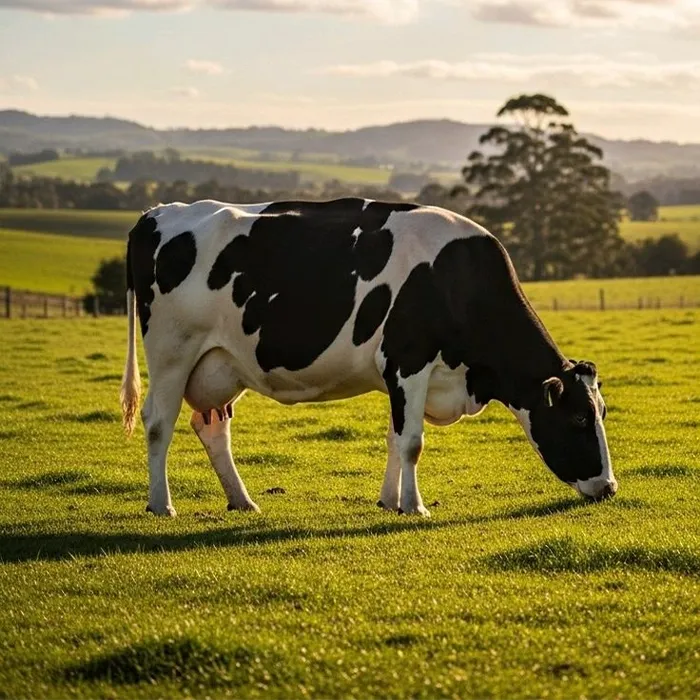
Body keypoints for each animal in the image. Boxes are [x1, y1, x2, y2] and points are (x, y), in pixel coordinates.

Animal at [120, 197, 617, 517]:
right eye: (578, 418)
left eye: (603, 412)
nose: (609, 488)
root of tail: (158, 212)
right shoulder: (408, 361)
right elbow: (412, 442)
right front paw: (415, 507)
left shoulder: (400, 375)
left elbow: (395, 439)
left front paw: (389, 502)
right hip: (172, 351)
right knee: (158, 423)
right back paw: (162, 504)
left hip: (221, 362)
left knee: (211, 427)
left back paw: (241, 500)